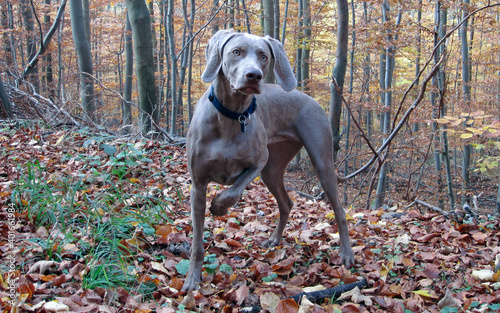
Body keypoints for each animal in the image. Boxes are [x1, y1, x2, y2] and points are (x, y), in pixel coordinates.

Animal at [184, 29, 356, 290]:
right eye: (236, 52)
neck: (231, 117)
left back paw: (346, 253)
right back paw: (274, 239)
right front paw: (192, 279)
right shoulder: (197, 184)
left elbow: (233, 191)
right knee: (286, 203)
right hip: (273, 169)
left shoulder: (257, 163)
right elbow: (196, 242)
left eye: (263, 56)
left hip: (320, 162)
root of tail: (311, 99)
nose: (253, 75)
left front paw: (219, 206)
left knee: (339, 212)